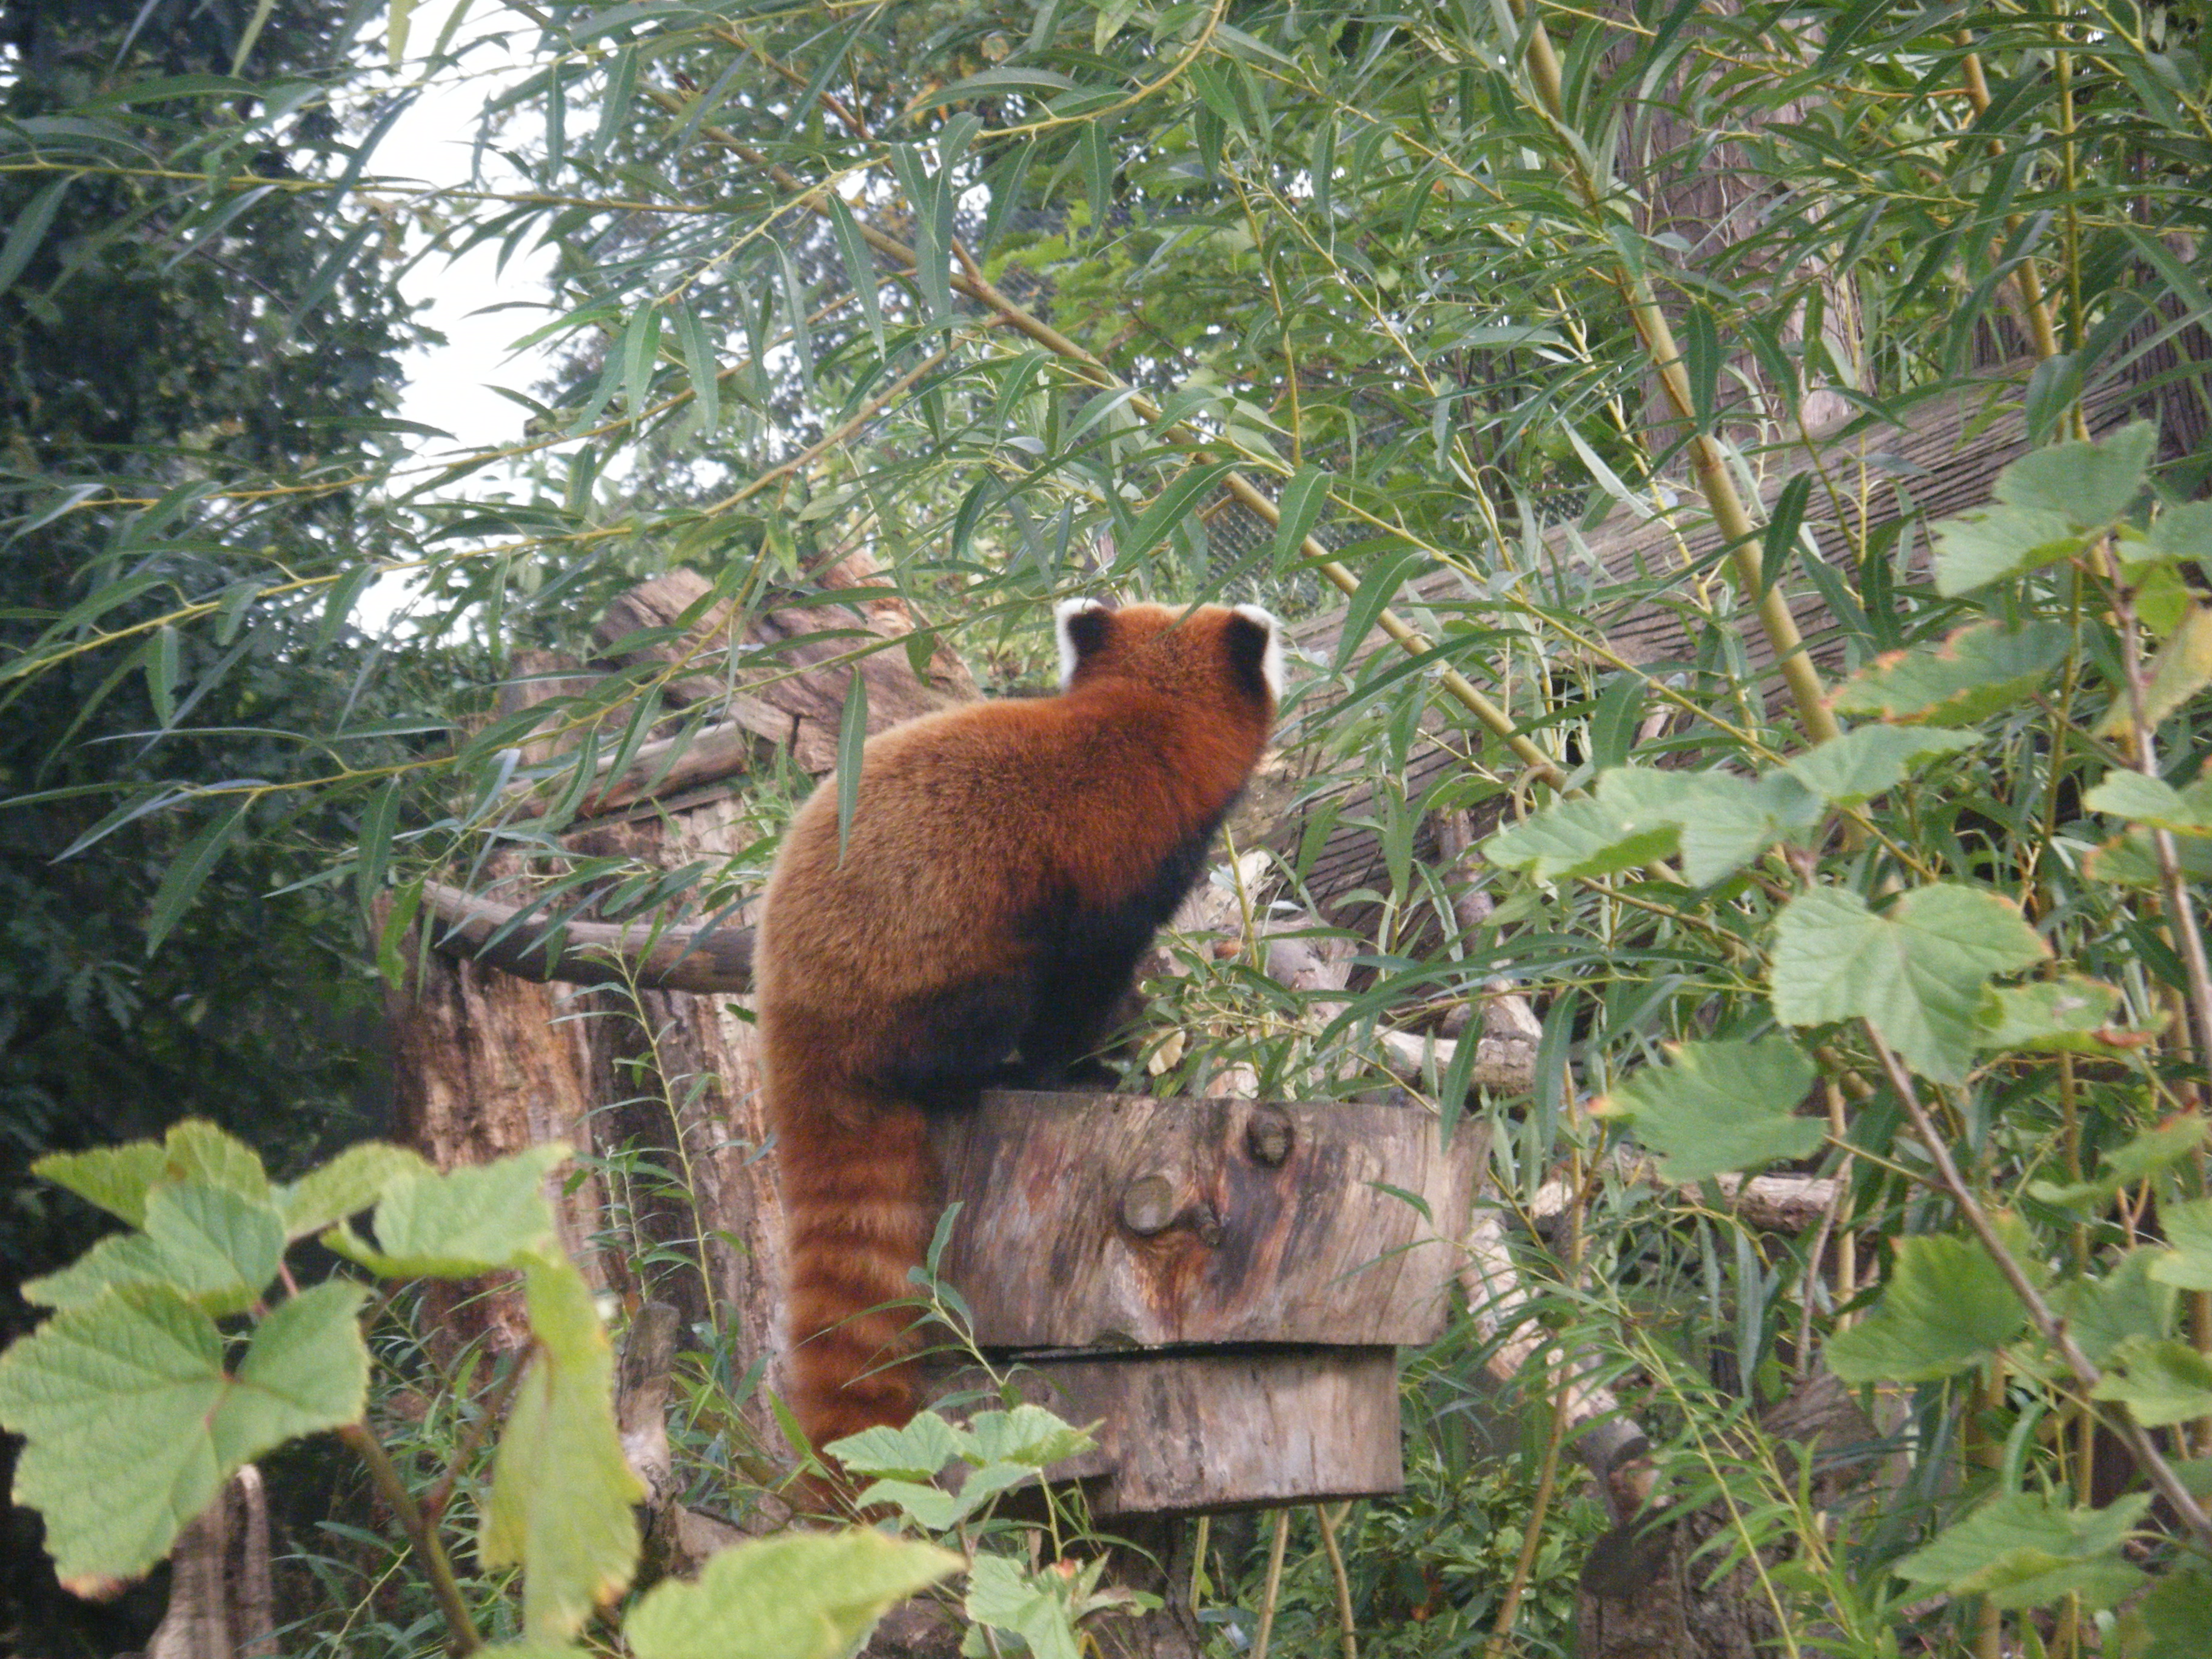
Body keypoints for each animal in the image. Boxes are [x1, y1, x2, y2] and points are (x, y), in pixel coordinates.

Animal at [756, 606, 1282, 1460]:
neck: (1144, 716)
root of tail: (792, 1030)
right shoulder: (1116, 863)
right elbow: (1081, 990)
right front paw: (1088, 1068)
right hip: (937, 972)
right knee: (980, 1019)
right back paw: (982, 1077)